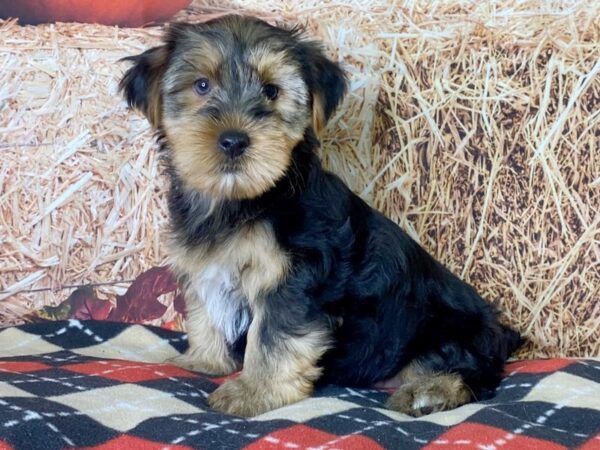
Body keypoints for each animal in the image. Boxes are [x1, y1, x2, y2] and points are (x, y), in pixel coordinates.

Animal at [118, 14, 520, 418]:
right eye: (201, 85)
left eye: (271, 91)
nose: (233, 140)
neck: (243, 200)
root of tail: (501, 332)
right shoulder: (205, 266)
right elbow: (205, 312)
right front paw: (204, 360)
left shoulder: (293, 279)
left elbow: (272, 337)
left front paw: (254, 391)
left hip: (447, 330)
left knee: (472, 374)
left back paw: (428, 392)